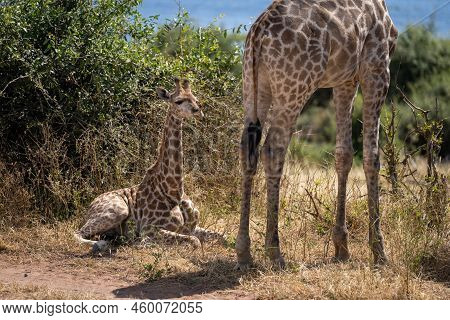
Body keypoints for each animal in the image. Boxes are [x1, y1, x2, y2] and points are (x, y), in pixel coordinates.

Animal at [76, 78, 223, 252]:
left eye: (196, 100)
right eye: (178, 101)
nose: (197, 111)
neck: (175, 191)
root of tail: (89, 207)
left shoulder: (192, 227)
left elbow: (224, 237)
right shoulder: (149, 228)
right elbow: (195, 241)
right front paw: (143, 244)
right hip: (119, 210)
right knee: (78, 233)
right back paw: (102, 244)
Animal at [236, 0, 398, 270]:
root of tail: (258, 34)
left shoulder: (345, 79)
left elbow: (344, 154)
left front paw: (342, 247)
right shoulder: (376, 68)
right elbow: (372, 157)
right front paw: (379, 252)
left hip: (253, 83)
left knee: (247, 149)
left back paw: (244, 253)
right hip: (294, 87)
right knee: (273, 148)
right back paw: (275, 253)